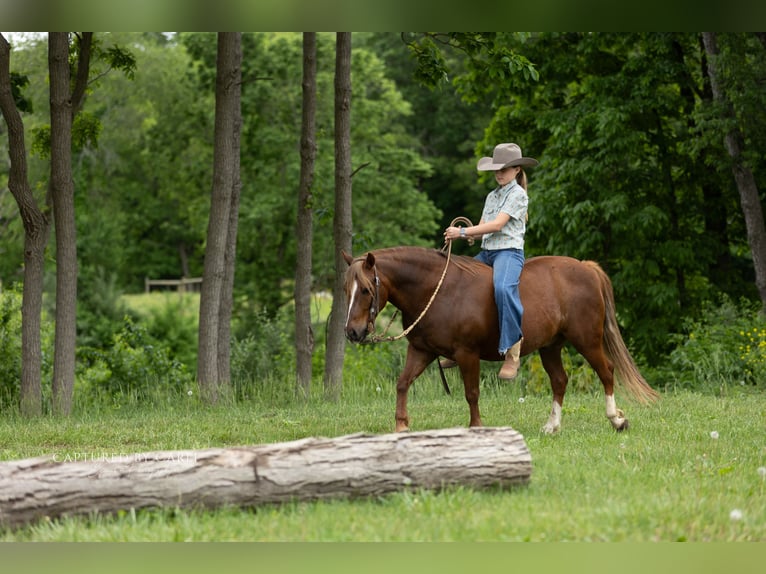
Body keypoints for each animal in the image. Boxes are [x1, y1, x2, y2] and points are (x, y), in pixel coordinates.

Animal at [342, 246, 659, 434]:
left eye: (367, 290)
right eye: (346, 288)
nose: (352, 332)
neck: (436, 291)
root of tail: (586, 267)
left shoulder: (466, 353)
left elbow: (471, 393)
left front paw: (476, 427)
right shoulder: (421, 350)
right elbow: (402, 383)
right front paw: (401, 427)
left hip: (587, 340)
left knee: (607, 372)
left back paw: (617, 419)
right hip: (551, 346)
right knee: (560, 381)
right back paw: (551, 426)